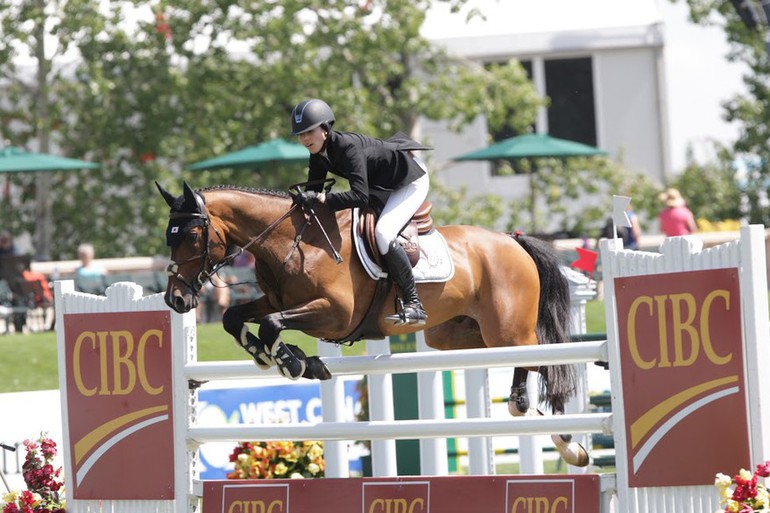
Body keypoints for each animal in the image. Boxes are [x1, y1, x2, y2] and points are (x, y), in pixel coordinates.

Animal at [156, 182, 588, 466]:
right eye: (168, 236)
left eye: (191, 234)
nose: (175, 300)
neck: (291, 242)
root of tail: (512, 240)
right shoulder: (279, 301)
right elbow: (239, 317)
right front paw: (280, 358)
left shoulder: (333, 313)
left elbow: (271, 323)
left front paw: (294, 362)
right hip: (458, 336)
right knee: (526, 368)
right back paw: (543, 422)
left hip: (508, 330)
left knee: (547, 362)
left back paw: (564, 439)